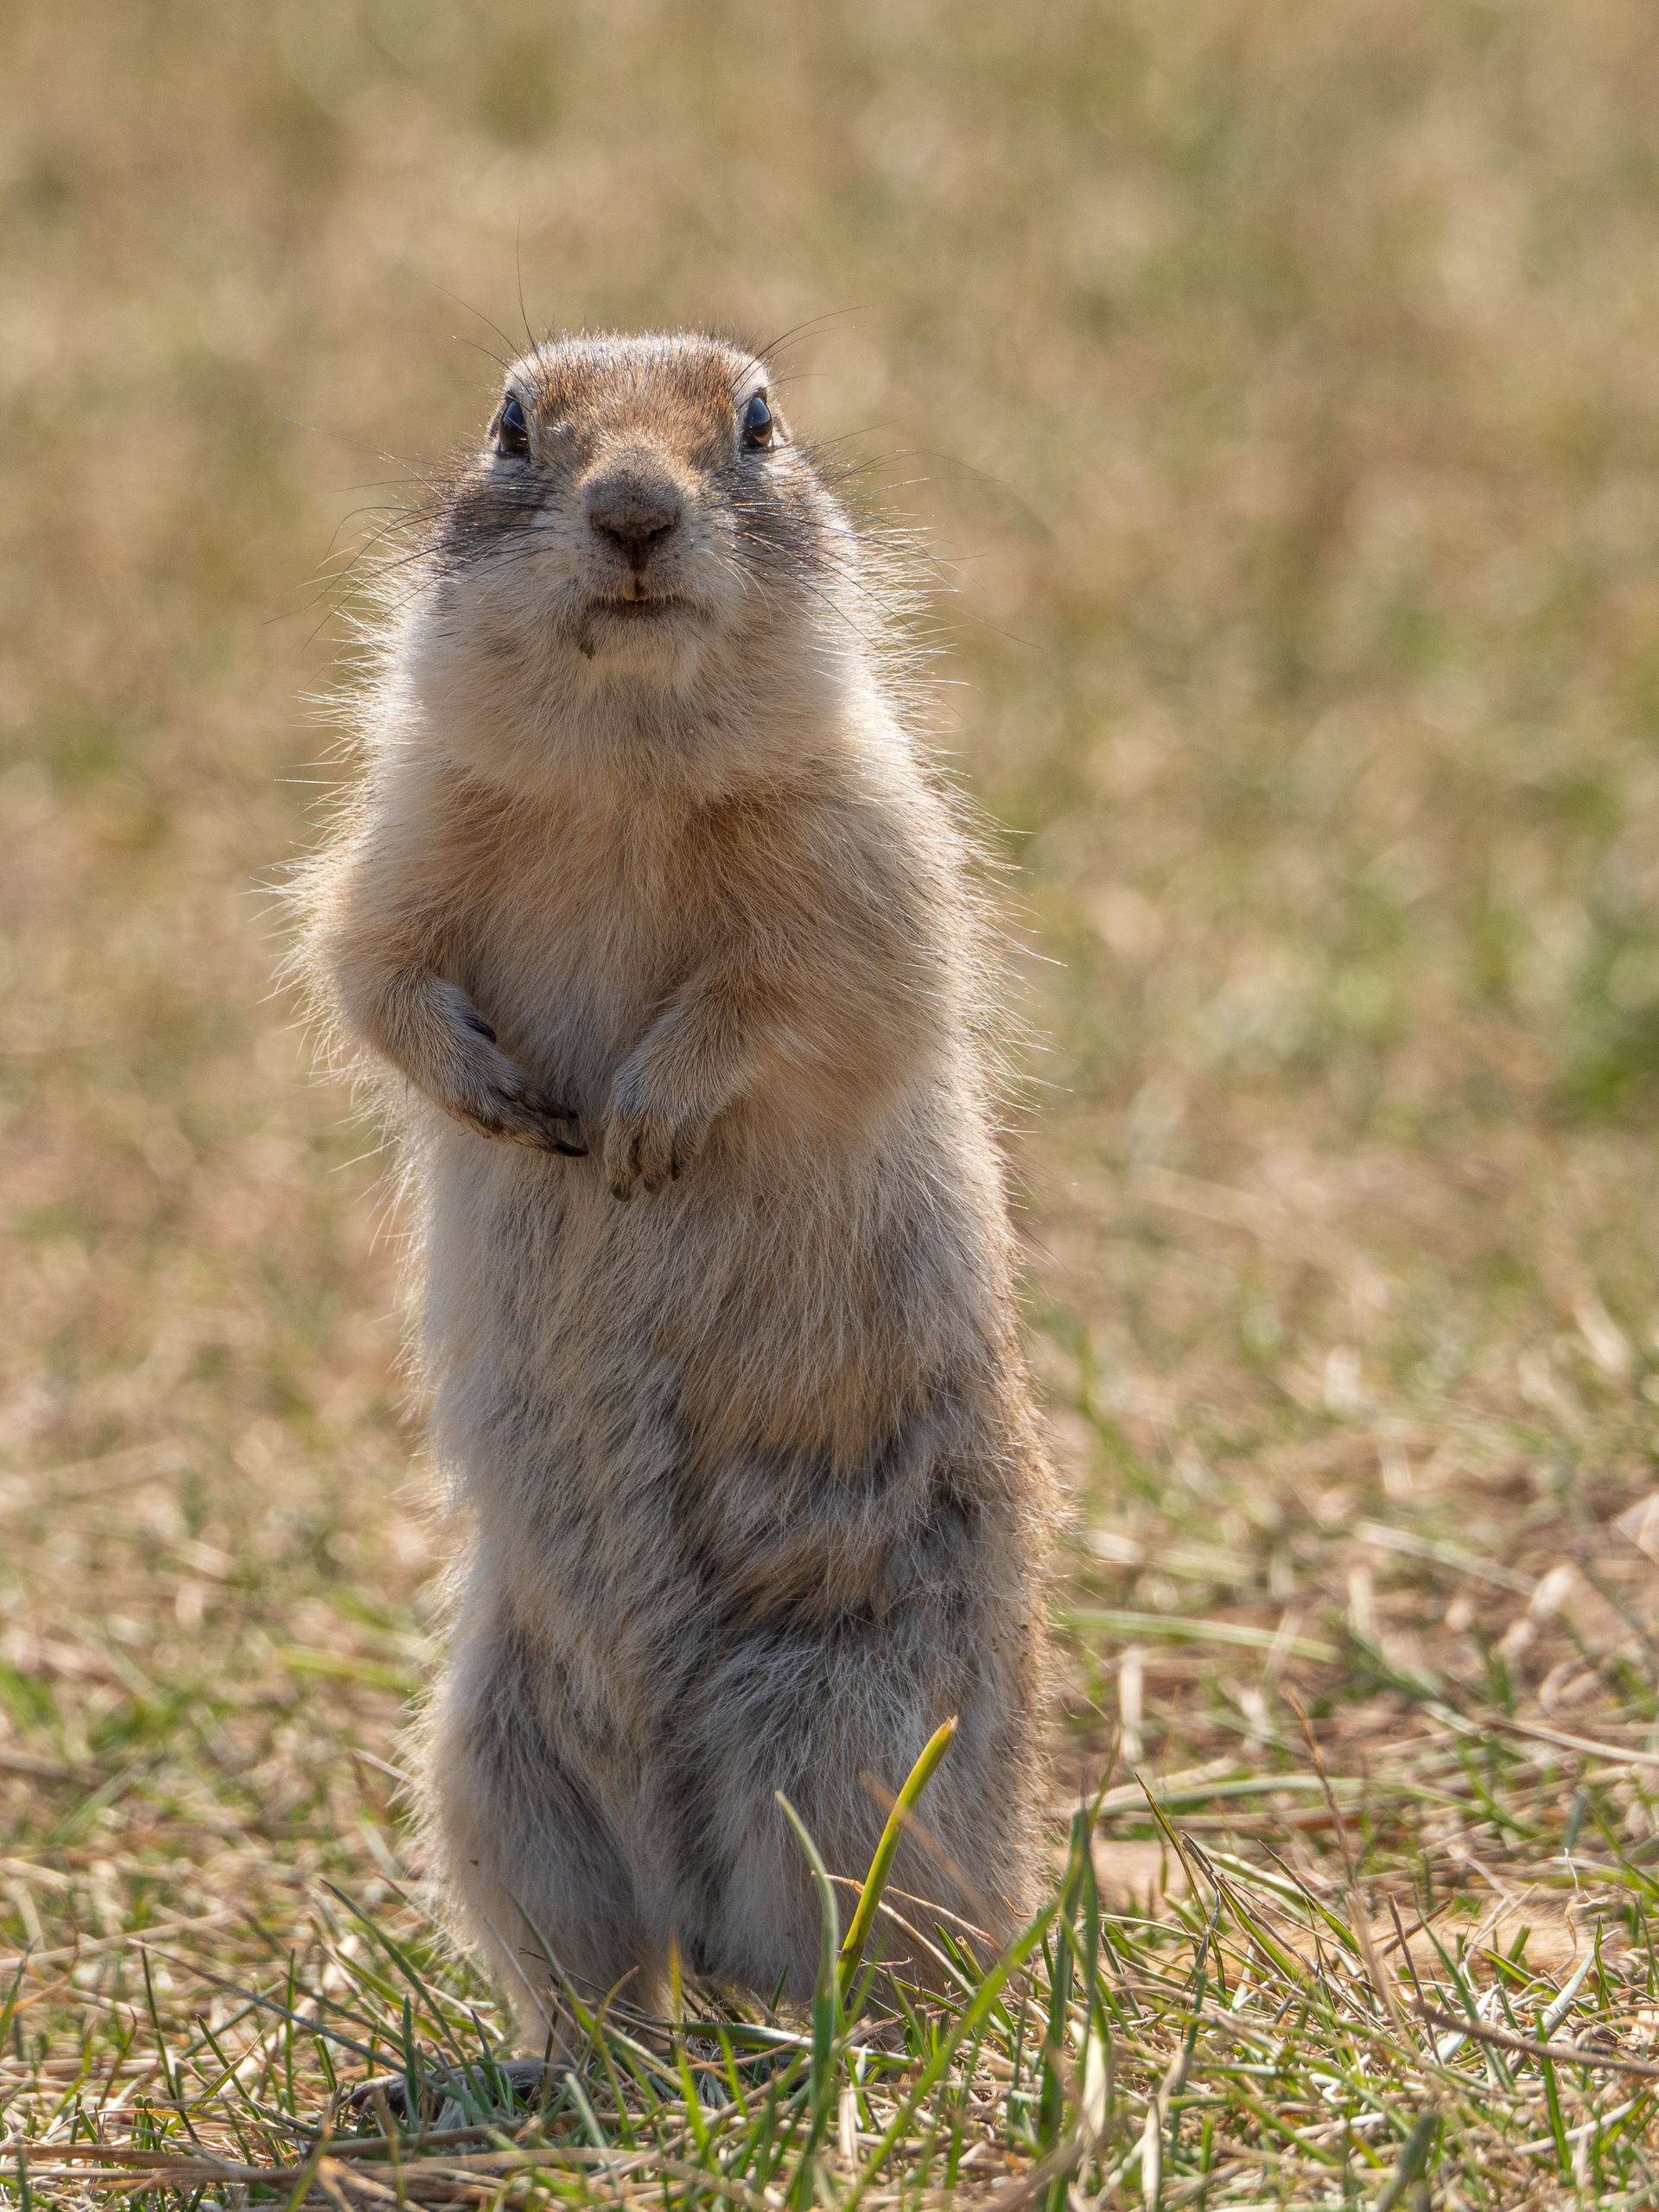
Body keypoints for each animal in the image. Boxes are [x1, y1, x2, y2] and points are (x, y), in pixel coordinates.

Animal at [296, 327, 1052, 2035]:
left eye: (758, 424)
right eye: (512, 428)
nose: (635, 510)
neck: (625, 773)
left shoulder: (859, 859)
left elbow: (795, 1001)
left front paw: (638, 1123)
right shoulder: (407, 825)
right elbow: (371, 968)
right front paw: (508, 1101)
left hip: (848, 1746)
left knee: (883, 1956)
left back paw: (834, 2041)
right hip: (495, 1765)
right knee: (610, 1976)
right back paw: (549, 2058)